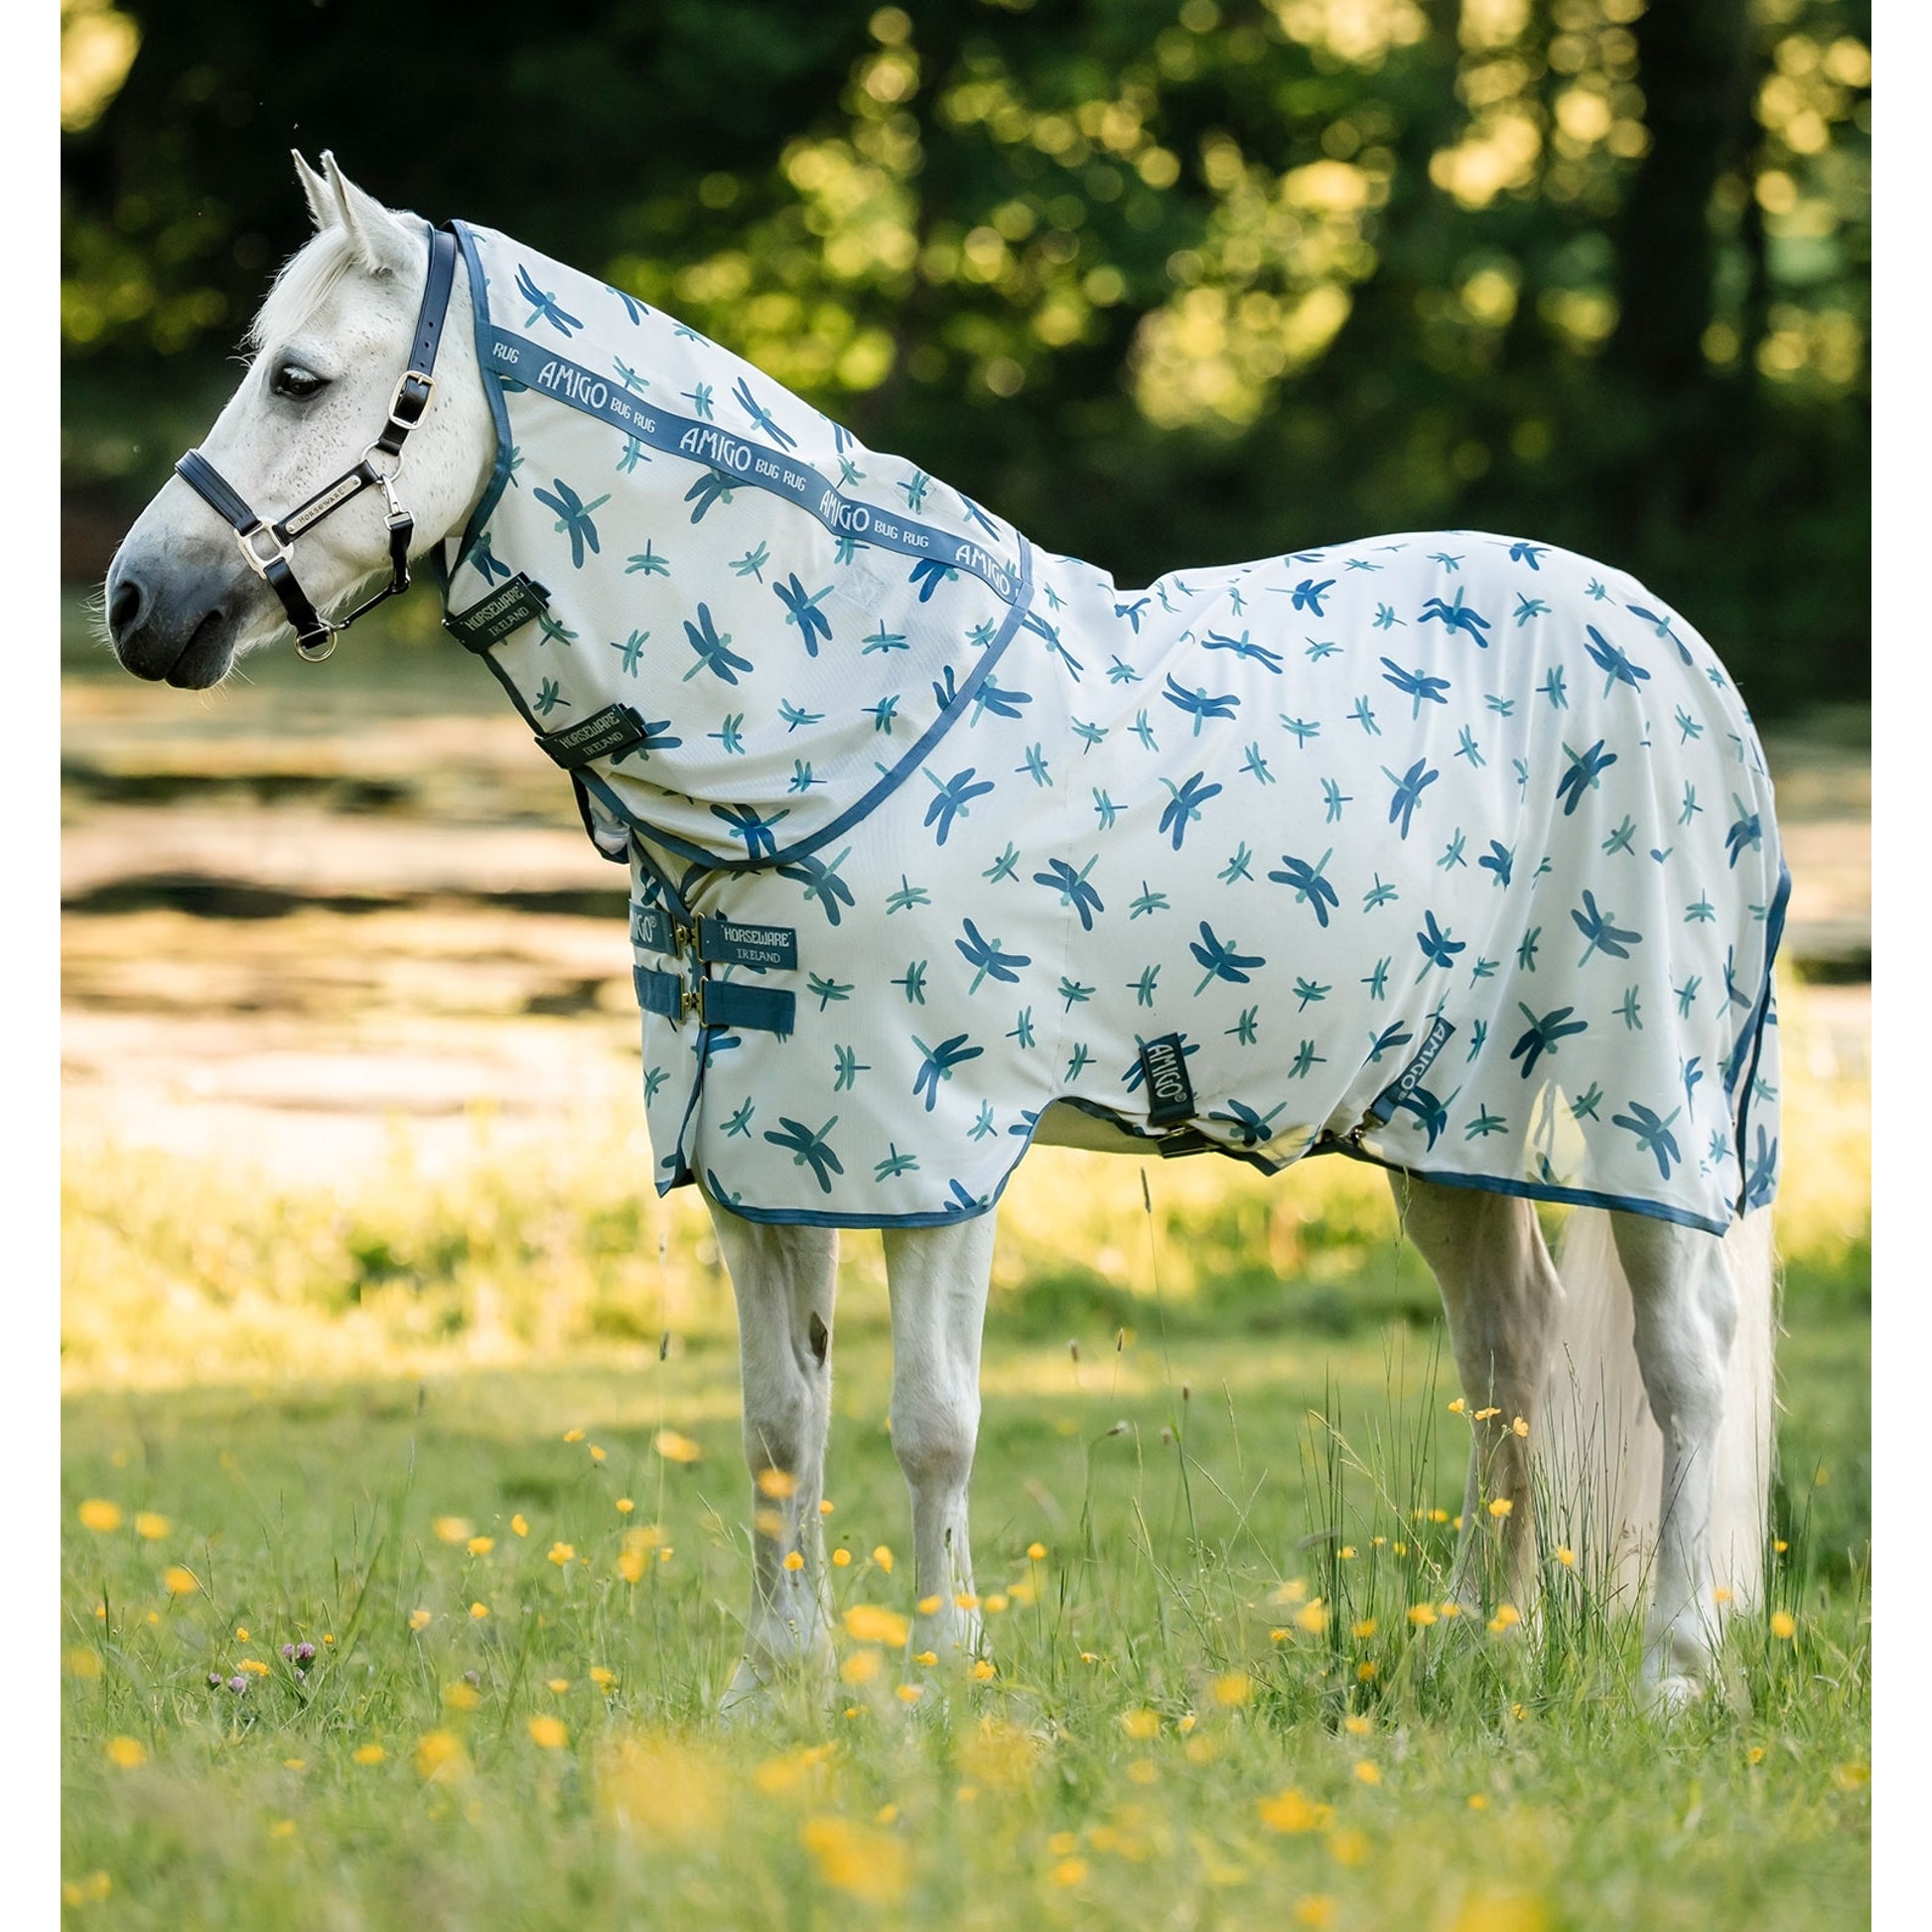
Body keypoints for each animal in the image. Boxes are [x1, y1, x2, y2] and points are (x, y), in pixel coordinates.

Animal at [102, 154, 1785, 1714]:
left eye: (301, 377)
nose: (134, 604)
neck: (823, 727)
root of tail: (1675, 646)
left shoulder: (936, 1146)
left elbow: (931, 1420)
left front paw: (930, 1687)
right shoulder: (760, 1149)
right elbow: (779, 1420)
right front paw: (775, 1687)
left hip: (1641, 1106)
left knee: (1683, 1361)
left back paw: (1674, 1668)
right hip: (1446, 1123)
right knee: (1508, 1347)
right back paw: (1479, 1642)